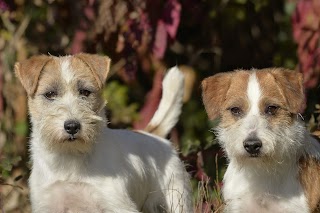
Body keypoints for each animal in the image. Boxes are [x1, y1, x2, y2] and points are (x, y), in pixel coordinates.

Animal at [15, 52, 192, 212]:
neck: (70, 156)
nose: (72, 126)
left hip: (176, 199)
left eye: (85, 92)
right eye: (50, 94)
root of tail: (154, 135)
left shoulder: (118, 205)